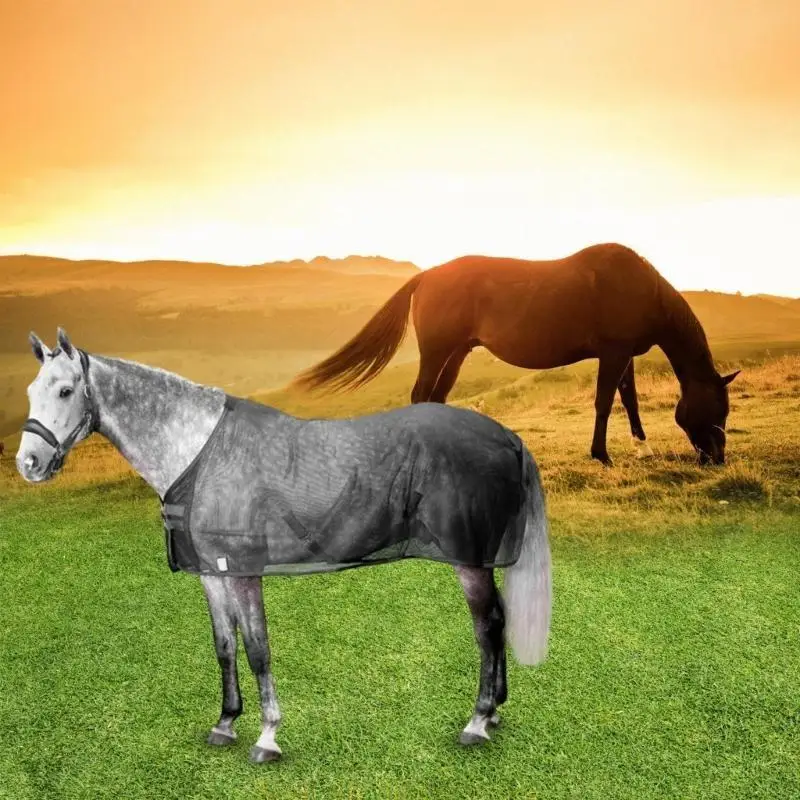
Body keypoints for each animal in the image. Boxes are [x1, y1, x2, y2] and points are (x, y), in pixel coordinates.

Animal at [16, 328, 552, 763]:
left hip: (470, 560)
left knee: (488, 627)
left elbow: (258, 648)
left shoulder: (244, 570)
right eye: (30, 391)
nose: (29, 464)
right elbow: (225, 646)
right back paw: (495, 714)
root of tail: (507, 437)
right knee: (499, 621)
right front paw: (225, 724)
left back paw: (477, 722)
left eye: (65, 390)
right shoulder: (213, 572)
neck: (199, 453)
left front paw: (267, 737)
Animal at [292, 243, 741, 466]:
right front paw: (602, 455)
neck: (639, 287)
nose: (716, 459)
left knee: (436, 397)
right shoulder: (613, 353)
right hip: (437, 351)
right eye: (718, 409)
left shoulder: (624, 353)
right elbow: (603, 402)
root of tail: (427, 274)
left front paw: (642, 449)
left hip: (457, 353)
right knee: (421, 396)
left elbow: (628, 399)